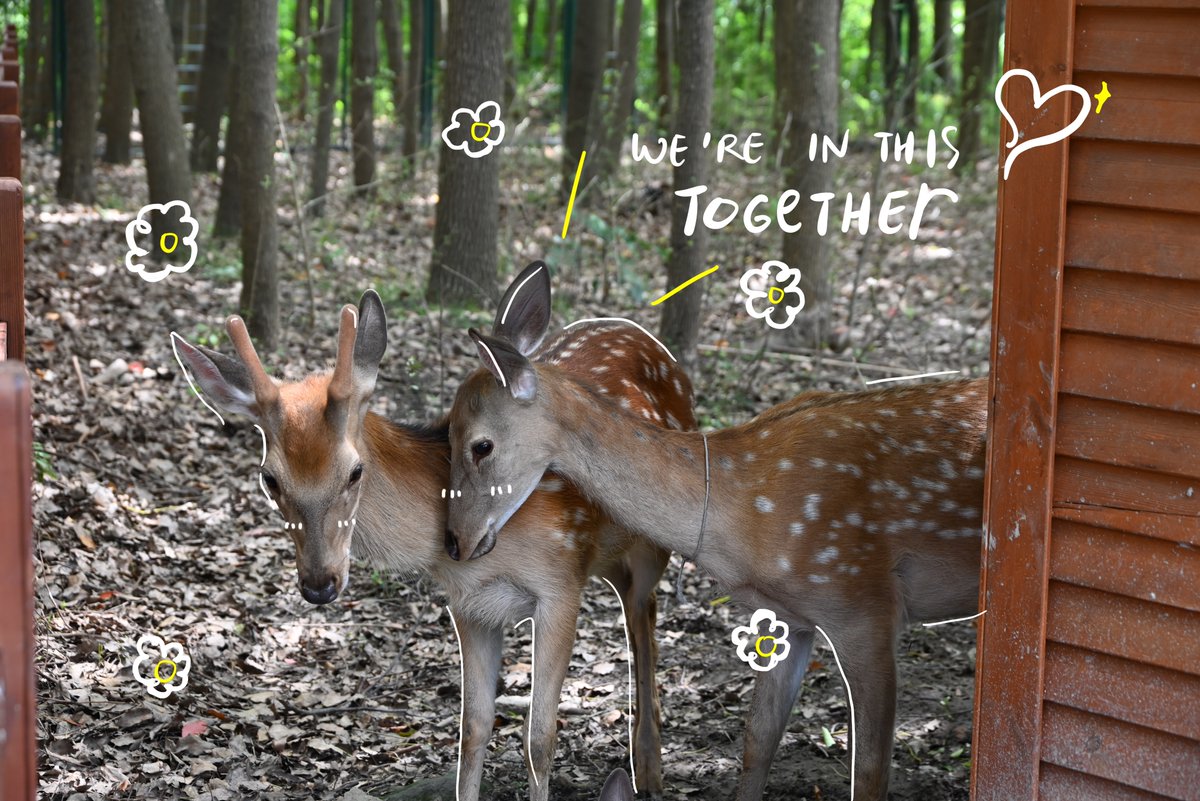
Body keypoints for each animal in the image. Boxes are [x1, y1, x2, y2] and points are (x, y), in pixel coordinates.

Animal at [171, 263, 698, 801]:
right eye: (269, 479)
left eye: (355, 471)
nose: (319, 584)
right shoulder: (469, 605)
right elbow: (473, 728)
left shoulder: (560, 583)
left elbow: (539, 738)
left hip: (653, 542)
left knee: (644, 616)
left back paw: (649, 769)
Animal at [443, 262, 988, 801]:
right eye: (442, 433)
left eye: (481, 445)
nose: (454, 541)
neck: (743, 513)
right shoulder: (790, 615)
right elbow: (758, 740)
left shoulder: (866, 607)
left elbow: (871, 772)